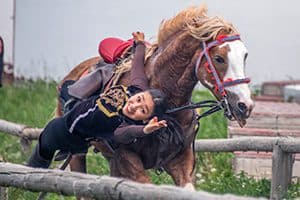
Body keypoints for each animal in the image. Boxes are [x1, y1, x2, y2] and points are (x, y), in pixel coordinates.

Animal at [55, 4, 253, 189]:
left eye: (245, 56)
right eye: (219, 58)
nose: (245, 106)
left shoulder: (181, 161)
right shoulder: (128, 161)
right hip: (78, 153)